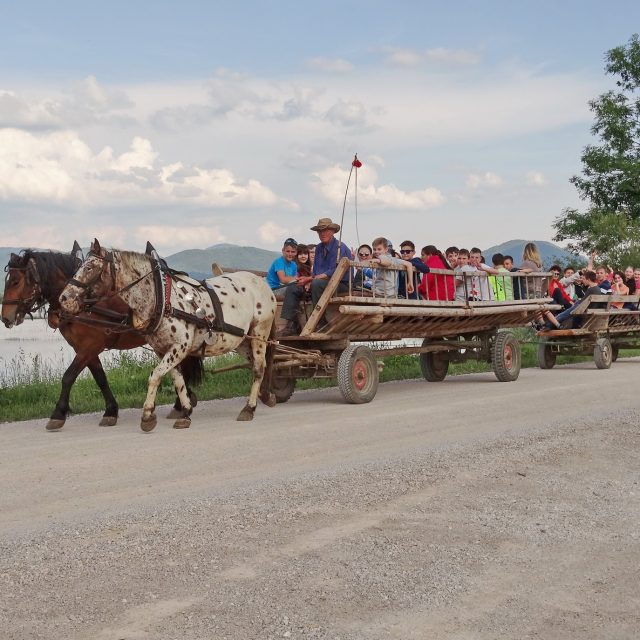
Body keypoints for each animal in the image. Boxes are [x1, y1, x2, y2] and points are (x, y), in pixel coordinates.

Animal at [60, 239, 278, 430]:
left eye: (90, 267)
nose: (64, 298)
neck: (162, 299)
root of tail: (261, 282)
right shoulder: (163, 349)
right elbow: (177, 380)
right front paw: (186, 412)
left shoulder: (179, 347)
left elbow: (155, 376)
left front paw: (148, 415)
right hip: (241, 340)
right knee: (256, 364)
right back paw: (265, 396)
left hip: (260, 333)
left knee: (258, 367)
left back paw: (249, 408)